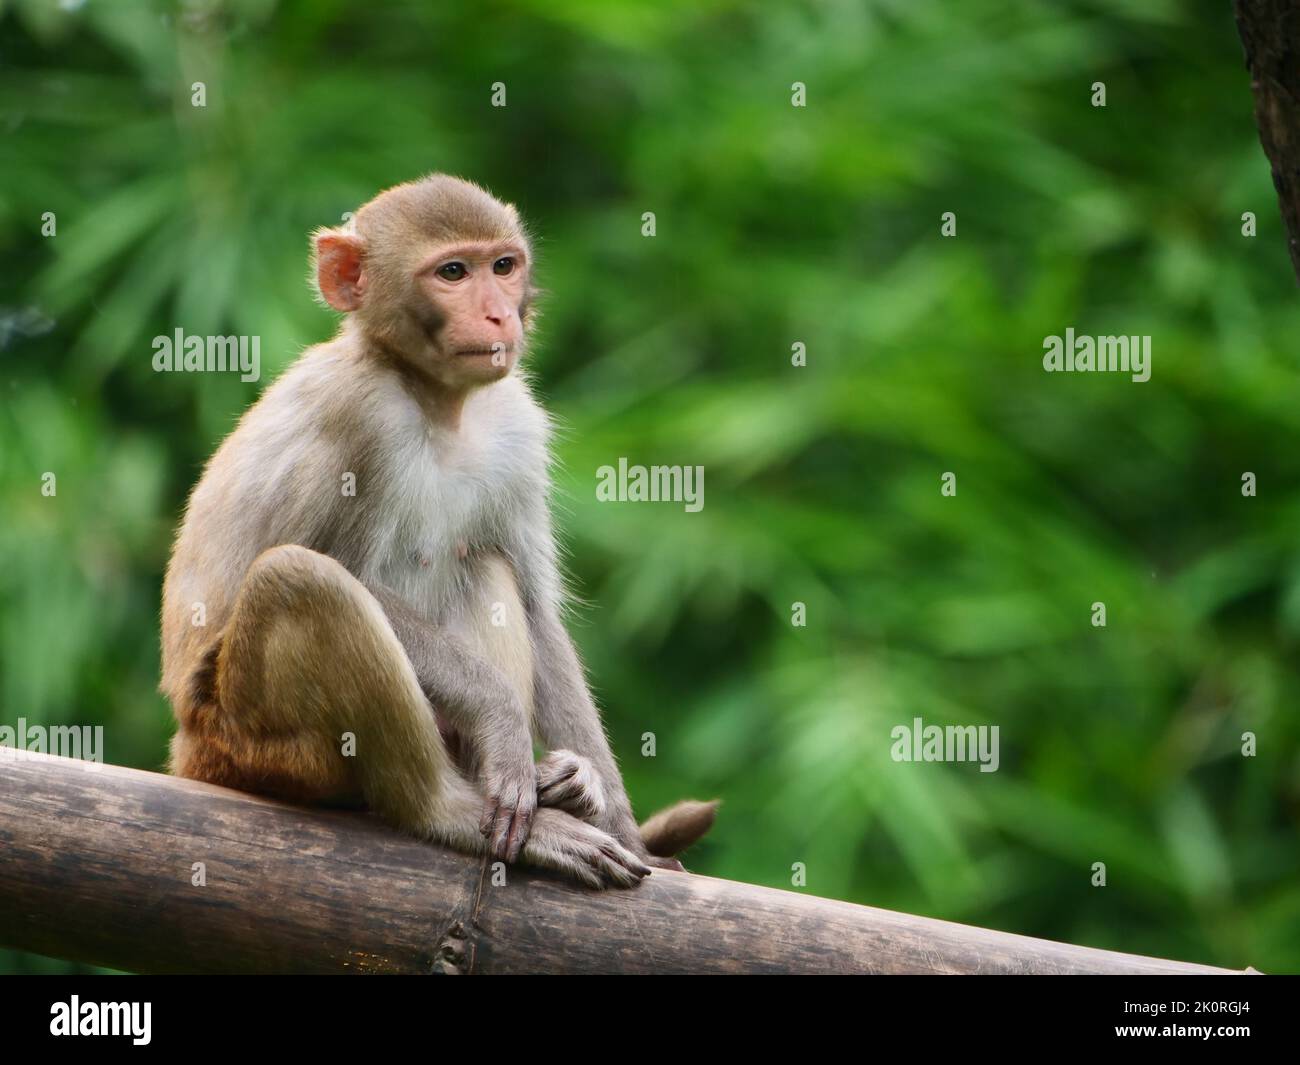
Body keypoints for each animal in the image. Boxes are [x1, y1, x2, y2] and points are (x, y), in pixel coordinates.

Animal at [159, 175, 722, 889]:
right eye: (452, 272)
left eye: (502, 266)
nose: (500, 316)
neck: (435, 400)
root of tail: (186, 748)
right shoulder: (359, 417)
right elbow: (348, 574)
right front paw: (503, 719)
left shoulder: (516, 423)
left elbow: (536, 607)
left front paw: (619, 822)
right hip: (246, 741)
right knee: (302, 581)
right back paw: (450, 810)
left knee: (486, 564)